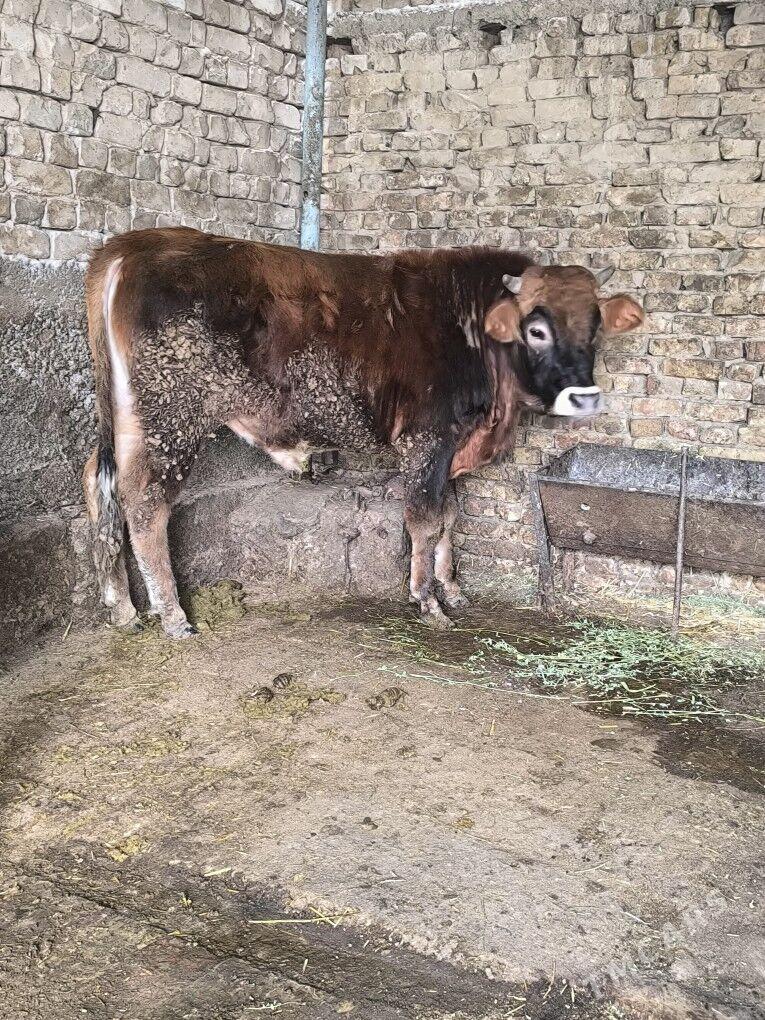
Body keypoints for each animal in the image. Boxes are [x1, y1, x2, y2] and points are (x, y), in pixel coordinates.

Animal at [82, 227, 644, 637]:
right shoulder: (426, 442)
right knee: (145, 504)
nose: (586, 397)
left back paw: (121, 607)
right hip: (169, 418)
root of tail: (134, 244)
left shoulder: (452, 451)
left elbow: (449, 518)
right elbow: (424, 521)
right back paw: (172, 616)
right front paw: (426, 600)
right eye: (537, 328)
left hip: (125, 418)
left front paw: (452, 588)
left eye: (595, 325)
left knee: (99, 483)